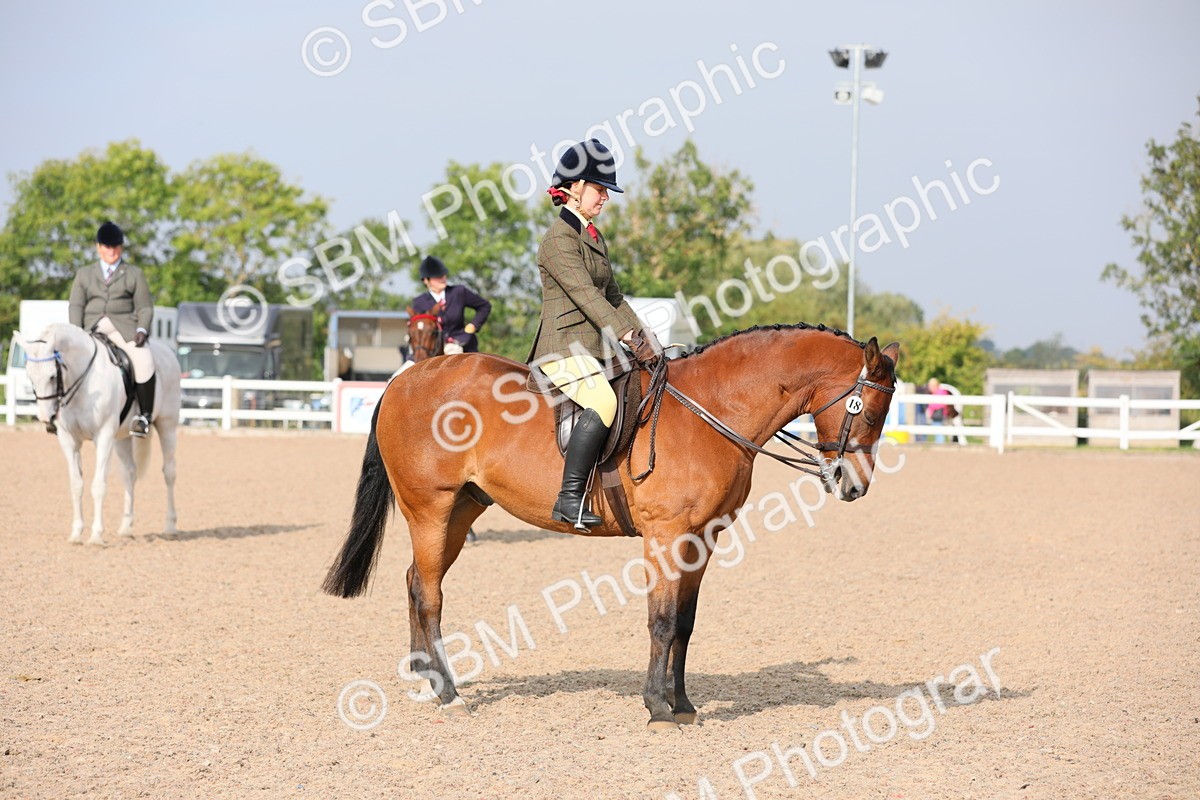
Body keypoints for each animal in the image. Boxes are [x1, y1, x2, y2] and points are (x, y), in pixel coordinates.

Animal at [14, 323, 181, 545]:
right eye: (29, 376)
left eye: (52, 375)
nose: (45, 417)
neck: (82, 383)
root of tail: (166, 351)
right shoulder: (69, 440)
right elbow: (76, 485)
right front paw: (76, 534)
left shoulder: (103, 436)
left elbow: (98, 485)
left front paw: (96, 536)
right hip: (121, 438)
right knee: (130, 473)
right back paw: (126, 527)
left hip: (167, 426)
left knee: (169, 472)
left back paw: (170, 526)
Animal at [323, 323, 900, 729]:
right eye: (870, 413)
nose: (854, 485)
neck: (713, 408)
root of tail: (405, 379)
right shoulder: (667, 536)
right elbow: (661, 621)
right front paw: (658, 709)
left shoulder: (702, 538)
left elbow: (685, 623)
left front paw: (683, 704)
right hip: (431, 508)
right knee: (428, 594)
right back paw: (448, 694)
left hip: (462, 511)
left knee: (415, 582)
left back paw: (425, 681)